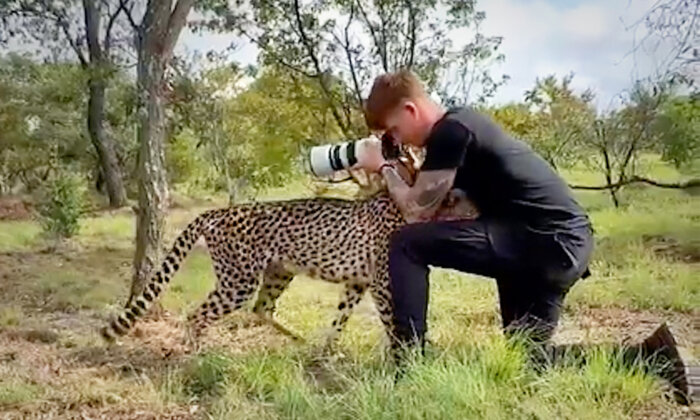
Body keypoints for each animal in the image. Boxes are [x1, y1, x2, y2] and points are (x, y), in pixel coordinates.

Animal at [101, 167, 478, 352]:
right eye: (466, 199)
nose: (479, 210)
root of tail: (218, 212)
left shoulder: (357, 283)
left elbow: (340, 319)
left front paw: (327, 351)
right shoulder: (382, 285)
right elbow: (392, 322)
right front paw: (404, 358)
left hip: (278, 272)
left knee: (262, 308)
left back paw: (299, 339)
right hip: (239, 282)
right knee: (197, 315)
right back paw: (195, 354)